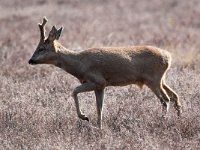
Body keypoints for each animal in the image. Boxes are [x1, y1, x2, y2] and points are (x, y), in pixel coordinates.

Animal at [28, 17, 182, 128]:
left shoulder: (96, 80)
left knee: (165, 100)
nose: (30, 60)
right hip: (161, 79)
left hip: (153, 80)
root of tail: (168, 56)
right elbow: (99, 108)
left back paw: (162, 121)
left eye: (41, 48)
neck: (80, 64)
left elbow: (74, 91)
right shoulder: (101, 86)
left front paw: (85, 117)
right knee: (174, 96)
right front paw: (99, 128)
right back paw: (179, 119)